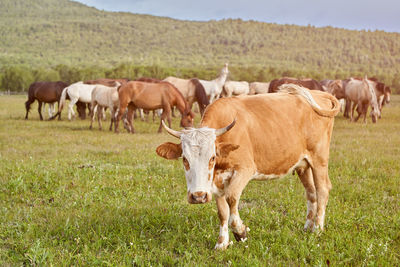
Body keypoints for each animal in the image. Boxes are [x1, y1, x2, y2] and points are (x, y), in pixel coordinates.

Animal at [156, 85, 340, 250]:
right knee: (311, 192)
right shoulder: (216, 181)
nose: (198, 196)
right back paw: (307, 227)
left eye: (212, 157)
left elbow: (231, 198)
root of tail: (319, 93)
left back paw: (317, 229)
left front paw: (240, 231)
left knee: (322, 189)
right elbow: (222, 212)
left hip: (319, 160)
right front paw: (222, 243)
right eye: (184, 159)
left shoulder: (245, 169)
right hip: (303, 165)